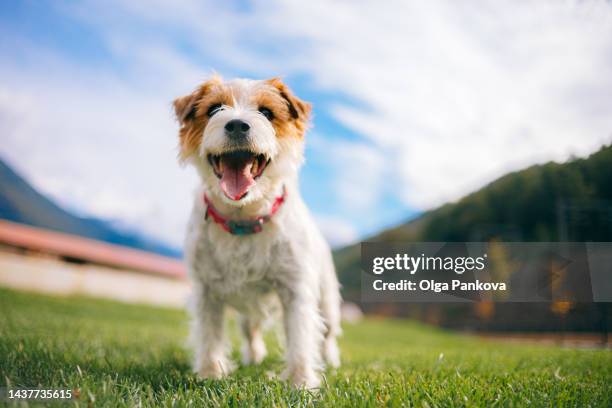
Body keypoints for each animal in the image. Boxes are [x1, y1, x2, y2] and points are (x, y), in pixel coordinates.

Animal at [175, 75, 342, 388]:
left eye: (266, 112)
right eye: (214, 109)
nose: (237, 125)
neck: (244, 218)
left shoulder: (295, 288)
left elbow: (300, 338)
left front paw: (301, 383)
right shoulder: (206, 290)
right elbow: (210, 335)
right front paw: (210, 374)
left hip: (327, 299)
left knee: (328, 333)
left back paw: (332, 359)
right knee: (250, 329)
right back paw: (253, 357)